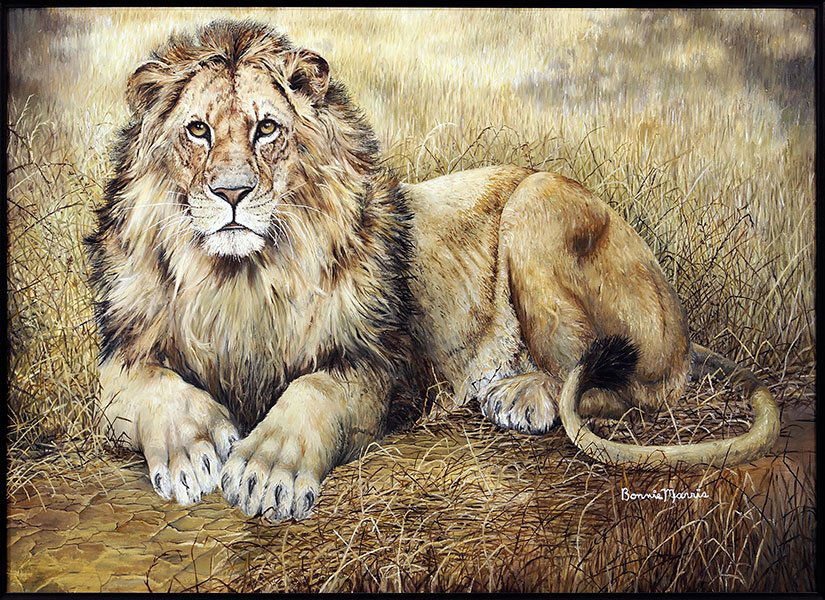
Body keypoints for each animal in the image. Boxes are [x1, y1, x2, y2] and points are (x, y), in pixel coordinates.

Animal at [87, 20, 779, 522]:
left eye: (266, 129)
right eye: (197, 130)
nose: (231, 192)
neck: (242, 278)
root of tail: (684, 331)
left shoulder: (389, 365)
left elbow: (315, 390)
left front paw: (267, 469)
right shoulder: (126, 345)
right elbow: (133, 384)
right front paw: (190, 447)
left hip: (537, 207)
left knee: (617, 384)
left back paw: (518, 395)